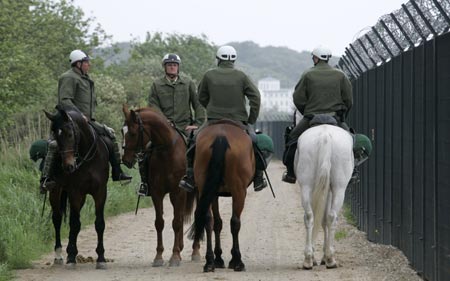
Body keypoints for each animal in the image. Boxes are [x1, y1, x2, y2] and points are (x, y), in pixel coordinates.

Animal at [43, 104, 110, 268]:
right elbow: (74, 223)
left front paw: (101, 258)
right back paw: (59, 255)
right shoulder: (75, 192)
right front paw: (72, 256)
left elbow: (99, 223)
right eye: (56, 137)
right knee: (57, 219)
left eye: (69, 135)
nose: (68, 167)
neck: (88, 159)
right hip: (56, 191)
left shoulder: (100, 192)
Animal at [120, 104, 196, 266]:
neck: (167, 151)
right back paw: (181, 246)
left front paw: (175, 256)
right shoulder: (157, 193)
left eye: (133, 133)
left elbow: (176, 222)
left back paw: (195, 251)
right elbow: (160, 222)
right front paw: (159, 256)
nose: (126, 160)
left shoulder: (177, 192)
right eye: (122, 131)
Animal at [188, 120, 255, 272]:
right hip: (239, 191)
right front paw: (231, 259)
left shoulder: (213, 193)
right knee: (235, 222)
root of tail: (221, 136)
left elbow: (217, 223)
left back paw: (209, 262)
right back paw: (237, 261)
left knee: (208, 220)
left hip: (205, 187)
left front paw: (218, 258)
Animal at [296, 123, 356, 268]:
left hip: (306, 186)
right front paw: (324, 256)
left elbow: (321, 219)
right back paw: (330, 258)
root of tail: (325, 135)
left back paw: (308, 259)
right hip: (339, 188)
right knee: (331, 217)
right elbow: (324, 220)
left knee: (310, 216)